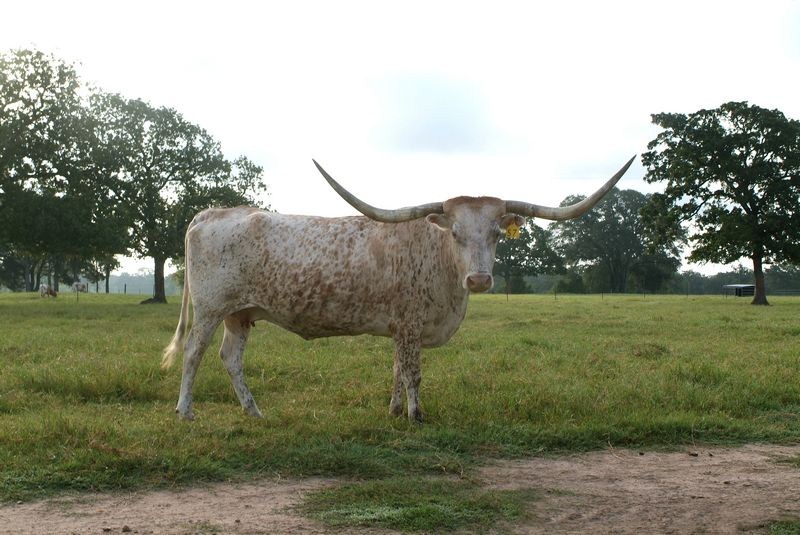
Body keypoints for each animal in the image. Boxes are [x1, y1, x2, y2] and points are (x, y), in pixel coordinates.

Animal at [162, 156, 635, 422]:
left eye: (497, 233)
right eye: (456, 232)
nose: (479, 280)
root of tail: (210, 213)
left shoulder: (400, 329)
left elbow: (395, 369)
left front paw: (392, 411)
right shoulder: (409, 325)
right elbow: (412, 372)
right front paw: (415, 415)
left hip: (240, 314)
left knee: (230, 358)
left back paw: (254, 412)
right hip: (210, 309)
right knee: (194, 353)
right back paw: (185, 412)